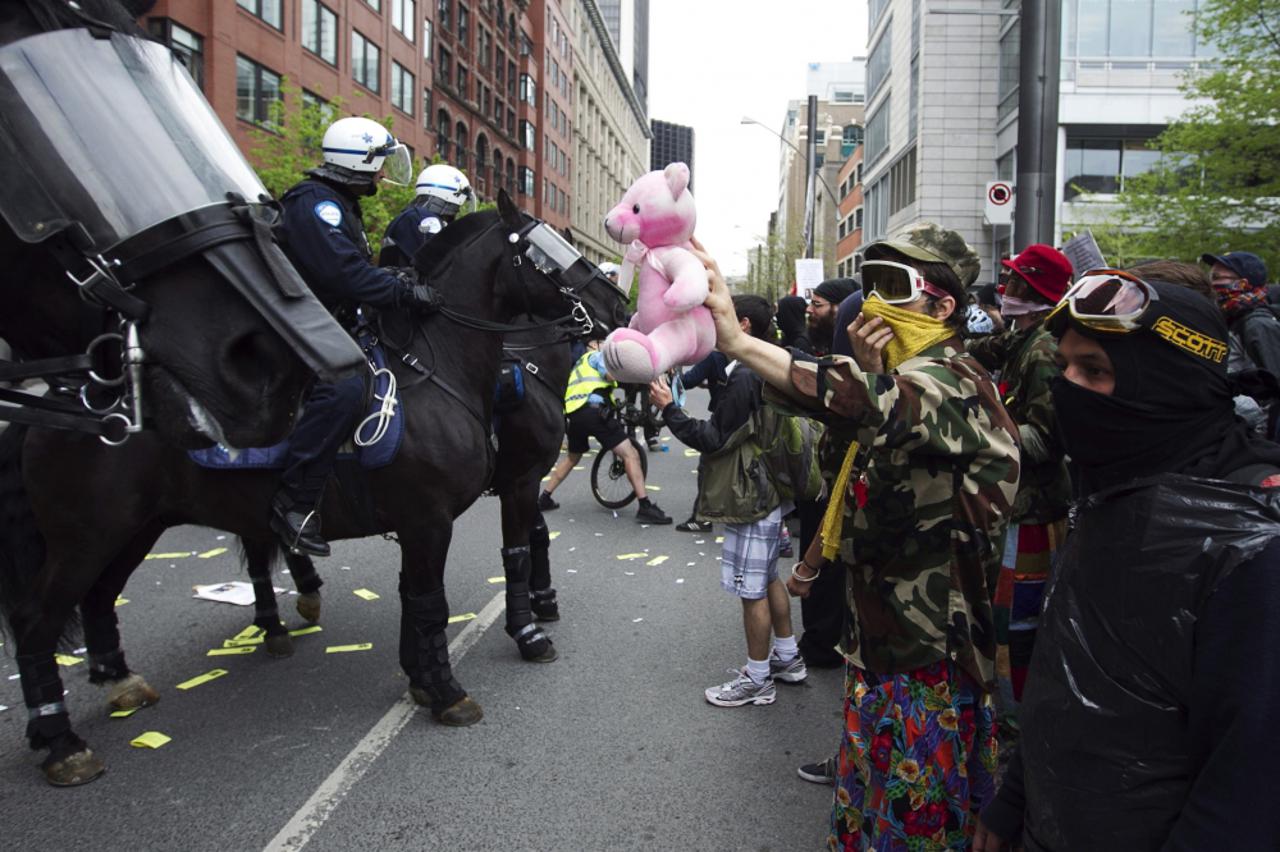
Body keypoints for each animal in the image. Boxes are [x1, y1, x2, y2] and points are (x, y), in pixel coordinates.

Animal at [0, 191, 627, 782]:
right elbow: (457, 585)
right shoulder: (448, 510)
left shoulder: (459, 506)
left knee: (102, 596)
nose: (617, 305)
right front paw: (477, 669)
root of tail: (67, 395)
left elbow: (440, 586)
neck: (442, 369)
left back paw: (124, 681)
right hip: (87, 536)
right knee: (36, 618)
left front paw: (427, 676)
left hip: (137, 528)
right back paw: (63, 742)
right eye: (548, 252)